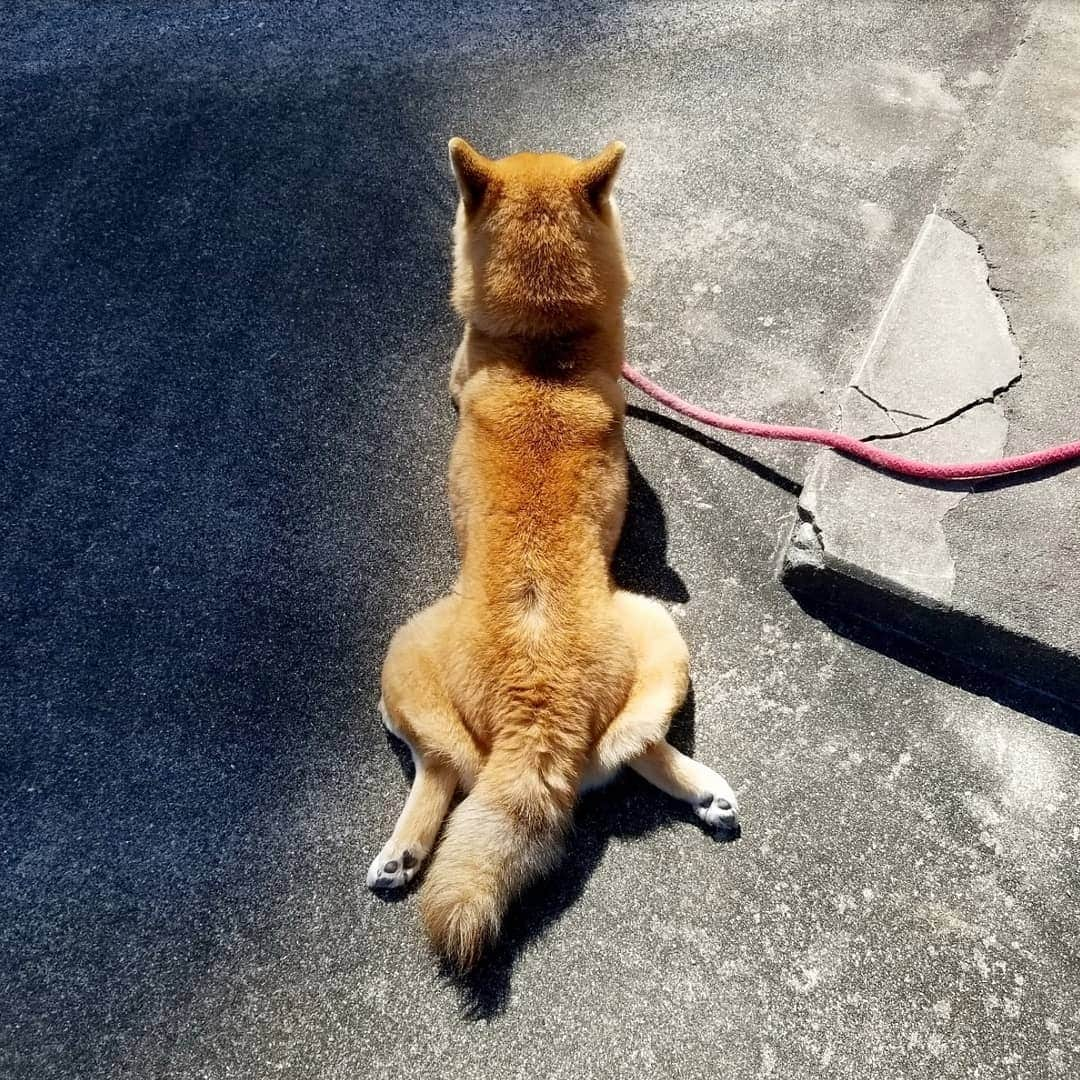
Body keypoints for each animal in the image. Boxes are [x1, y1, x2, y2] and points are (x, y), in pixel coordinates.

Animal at [371, 137, 743, 972]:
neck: (543, 353)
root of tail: (535, 714)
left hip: (402, 650)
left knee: (440, 769)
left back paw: (405, 849)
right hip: (660, 636)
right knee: (634, 749)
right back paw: (702, 787)